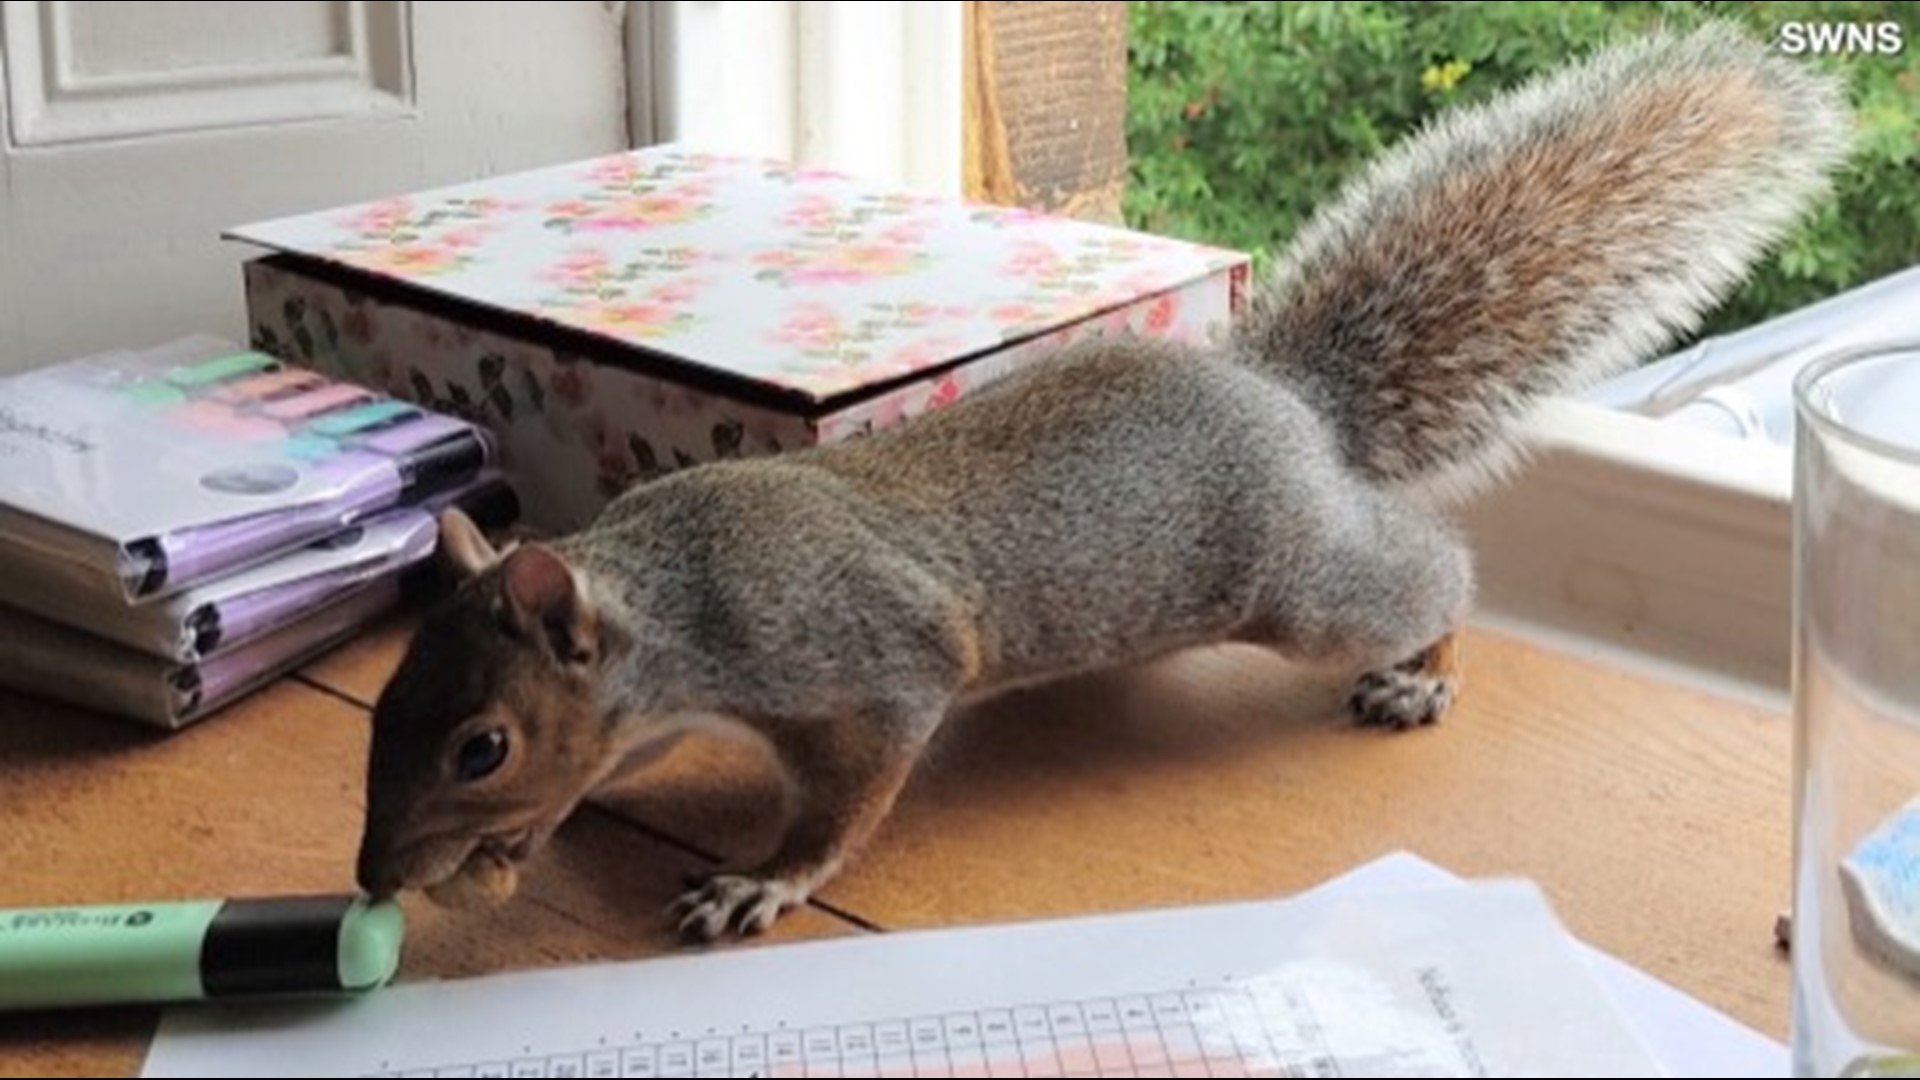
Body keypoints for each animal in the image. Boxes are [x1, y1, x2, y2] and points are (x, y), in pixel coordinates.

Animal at [355, 23, 1850, 941]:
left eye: (481, 745)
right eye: (390, 696)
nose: (375, 874)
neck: (674, 595)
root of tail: (1287, 401)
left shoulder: (873, 665)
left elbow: (846, 801)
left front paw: (756, 883)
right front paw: (511, 863)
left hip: (1303, 589)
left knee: (1428, 573)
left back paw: (1421, 668)